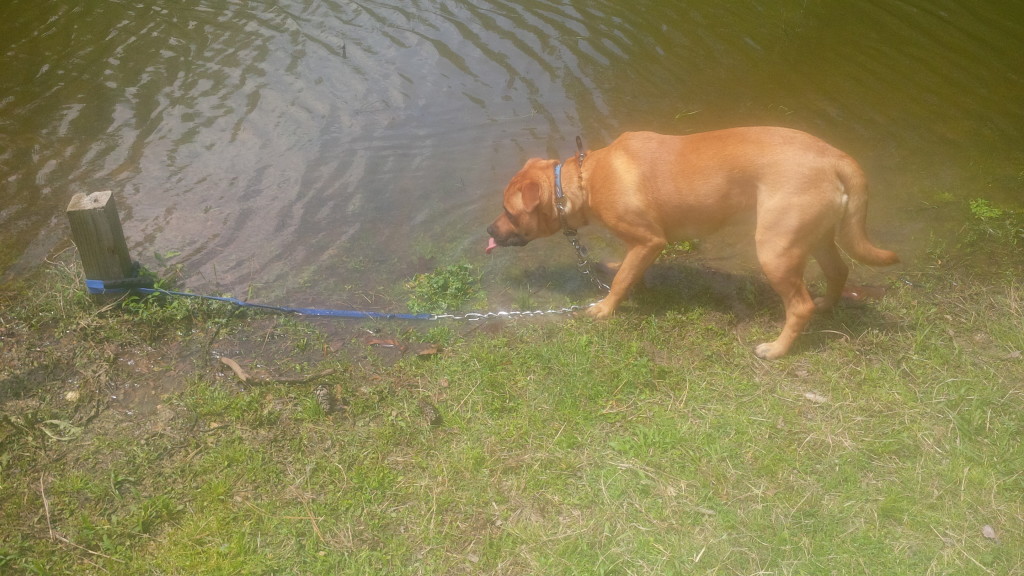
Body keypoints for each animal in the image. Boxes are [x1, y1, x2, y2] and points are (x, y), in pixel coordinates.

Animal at [487, 127, 897, 356]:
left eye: (509, 212)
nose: (489, 232)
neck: (584, 181)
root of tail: (836, 158)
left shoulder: (649, 240)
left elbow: (621, 282)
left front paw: (604, 308)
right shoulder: (643, 245)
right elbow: (627, 269)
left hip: (776, 248)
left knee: (799, 306)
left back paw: (776, 350)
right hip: (817, 237)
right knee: (838, 271)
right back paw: (827, 303)